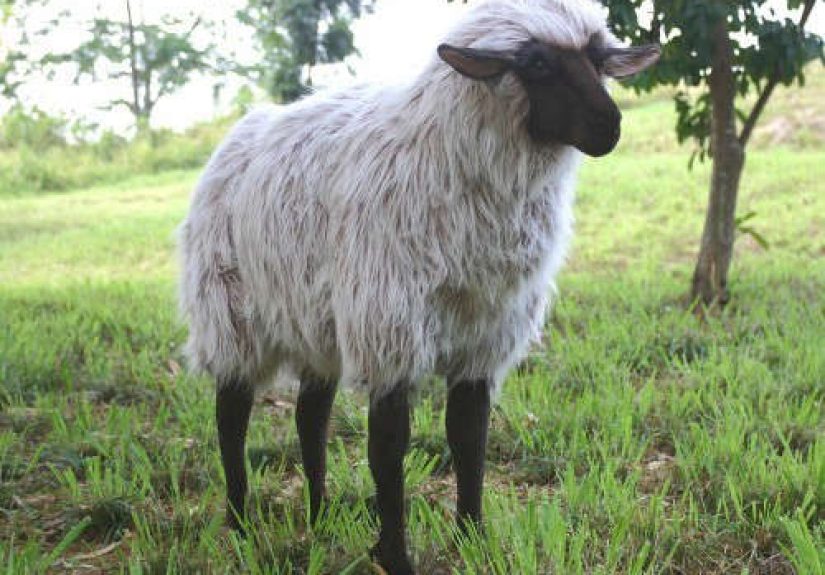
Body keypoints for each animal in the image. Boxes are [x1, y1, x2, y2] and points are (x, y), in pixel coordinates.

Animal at [178, 0, 660, 572]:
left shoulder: (486, 330)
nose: (610, 126)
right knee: (231, 414)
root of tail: (240, 132)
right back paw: (239, 523)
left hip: (317, 317)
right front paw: (394, 556)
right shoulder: (389, 322)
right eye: (536, 64)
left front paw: (473, 539)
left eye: (597, 59)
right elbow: (388, 447)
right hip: (230, 308)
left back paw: (320, 517)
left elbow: (469, 435)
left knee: (309, 417)